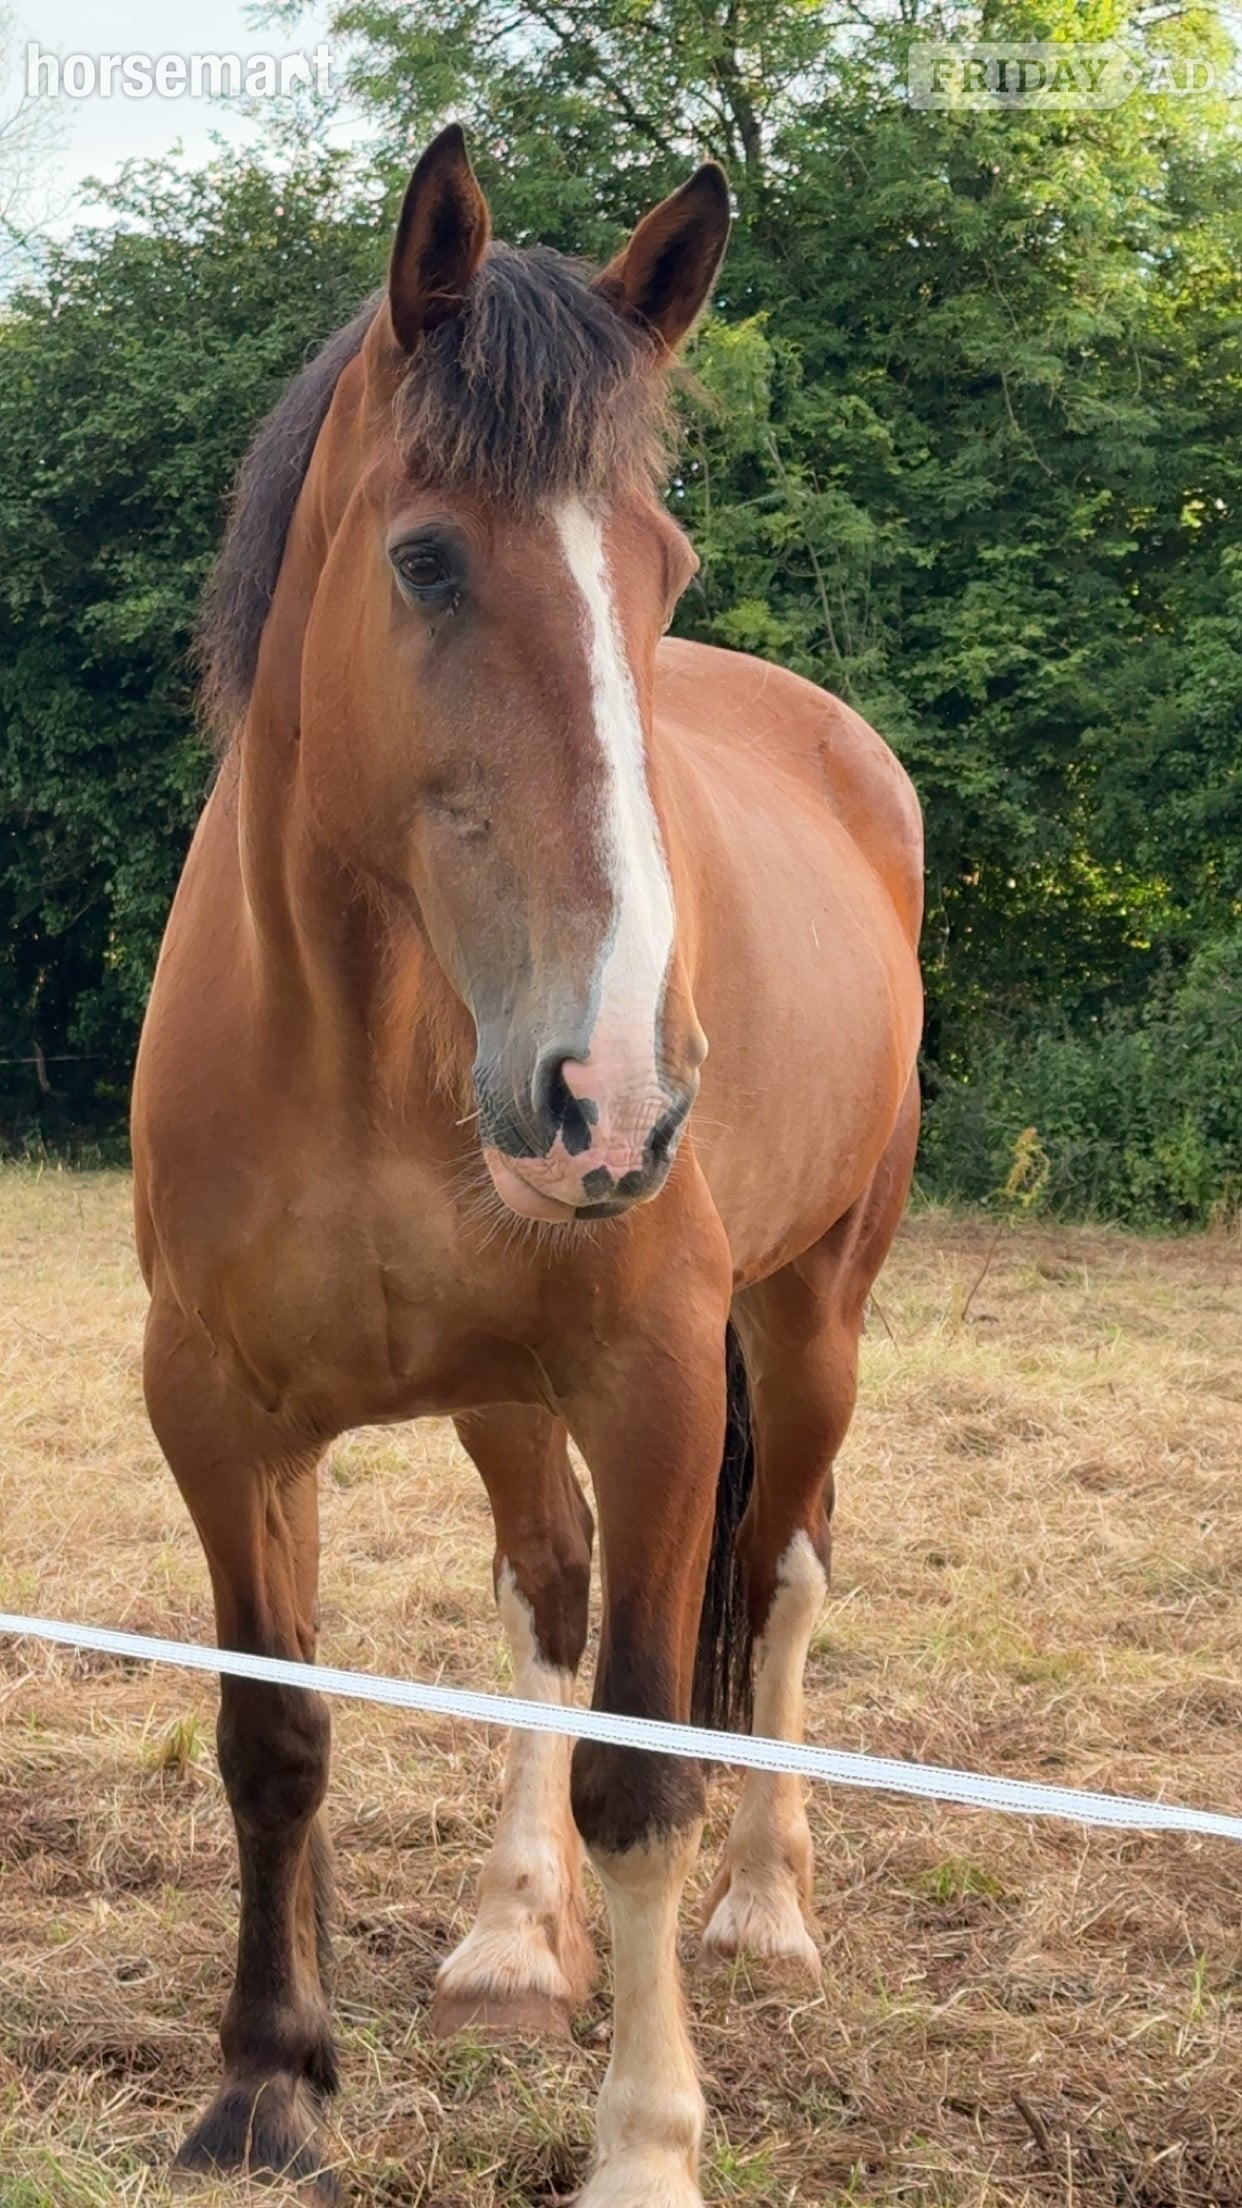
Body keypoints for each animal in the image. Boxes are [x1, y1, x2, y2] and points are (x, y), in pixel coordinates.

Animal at [131, 124, 923, 2208]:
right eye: (424, 558)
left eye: (664, 572)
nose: (617, 1092)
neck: (365, 1038)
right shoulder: (218, 1414)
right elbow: (277, 1736)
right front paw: (265, 2083)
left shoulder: (653, 1383)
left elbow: (642, 1769)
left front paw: (644, 2141)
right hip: (501, 1390)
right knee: (543, 1595)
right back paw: (507, 1935)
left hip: (809, 1324)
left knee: (781, 1576)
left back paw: (768, 1909)